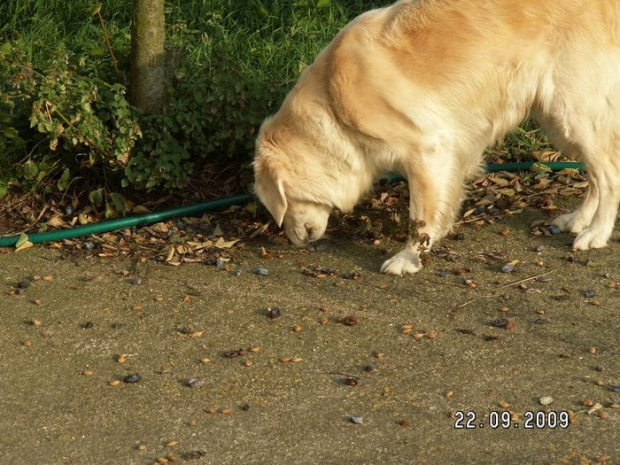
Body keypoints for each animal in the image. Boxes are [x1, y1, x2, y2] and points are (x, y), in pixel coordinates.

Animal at [252, 0, 620, 274]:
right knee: (595, 176)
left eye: (280, 205)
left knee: (609, 175)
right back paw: (578, 221)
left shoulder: (428, 150)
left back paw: (596, 233)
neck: (332, 104)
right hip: (558, 118)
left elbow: (420, 214)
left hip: (572, 112)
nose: (293, 240)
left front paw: (408, 258)